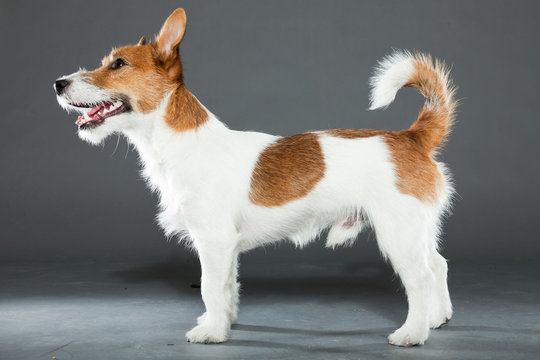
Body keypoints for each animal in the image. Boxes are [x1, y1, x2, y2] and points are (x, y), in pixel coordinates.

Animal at [54, 8, 458, 346]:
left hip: (398, 232)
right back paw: (437, 318)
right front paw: (222, 322)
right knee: (438, 264)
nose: (58, 83)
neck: (182, 143)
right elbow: (227, 289)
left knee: (420, 277)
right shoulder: (227, 248)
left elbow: (210, 287)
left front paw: (212, 333)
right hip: (419, 230)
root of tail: (411, 137)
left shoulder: (214, 242)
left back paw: (412, 333)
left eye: (118, 64)